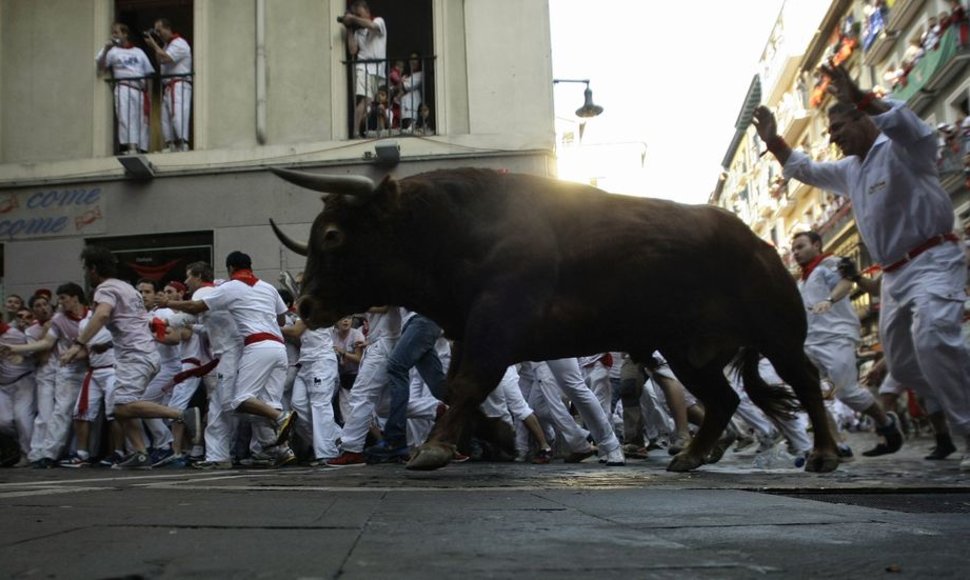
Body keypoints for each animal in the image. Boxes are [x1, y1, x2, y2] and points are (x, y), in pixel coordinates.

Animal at [270, 165, 840, 474]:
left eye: (333, 235)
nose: (305, 306)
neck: (455, 226)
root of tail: (756, 242)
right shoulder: (469, 330)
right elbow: (459, 388)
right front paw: (490, 437)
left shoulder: (496, 322)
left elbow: (469, 384)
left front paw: (432, 449)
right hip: (687, 351)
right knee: (722, 399)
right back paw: (693, 455)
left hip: (778, 334)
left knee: (805, 381)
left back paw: (824, 453)